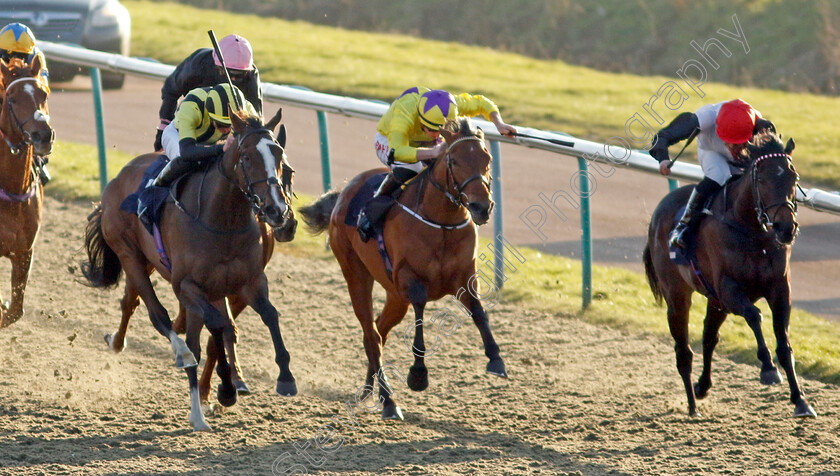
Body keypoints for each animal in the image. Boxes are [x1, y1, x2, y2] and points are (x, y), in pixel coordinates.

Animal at [83, 109, 298, 430]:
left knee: (145, 308)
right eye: (246, 157)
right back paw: (174, 357)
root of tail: (117, 178)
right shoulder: (187, 286)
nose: (277, 211)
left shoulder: (249, 281)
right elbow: (217, 326)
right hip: (130, 255)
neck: (222, 221)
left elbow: (268, 316)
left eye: (280, 157)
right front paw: (226, 388)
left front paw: (285, 378)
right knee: (158, 315)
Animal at [298, 119, 506, 420]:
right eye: (453, 161)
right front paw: (418, 374)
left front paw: (496, 359)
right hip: (356, 273)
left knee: (378, 332)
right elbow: (419, 313)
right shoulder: (409, 278)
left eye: (487, 159)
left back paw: (369, 389)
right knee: (371, 334)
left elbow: (479, 312)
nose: (481, 207)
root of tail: (343, 194)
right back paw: (388, 400)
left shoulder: (465, 276)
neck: (441, 222)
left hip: (394, 296)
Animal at [644, 130, 812, 416]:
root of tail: (657, 215)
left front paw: (800, 400)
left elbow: (784, 343)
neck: (752, 231)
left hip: (714, 301)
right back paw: (692, 406)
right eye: (763, 179)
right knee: (683, 350)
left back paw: (702, 387)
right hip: (678, 295)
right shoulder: (729, 290)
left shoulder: (780, 289)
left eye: (794, 177)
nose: (785, 228)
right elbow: (754, 316)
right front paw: (768, 369)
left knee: (709, 337)